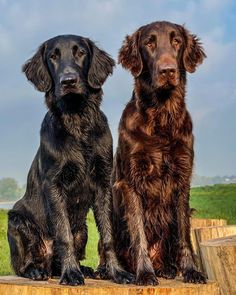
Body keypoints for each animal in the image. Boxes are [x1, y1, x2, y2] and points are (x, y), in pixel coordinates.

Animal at [7, 34, 134, 286]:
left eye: (81, 52)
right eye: (52, 56)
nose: (68, 80)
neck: (77, 121)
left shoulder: (103, 182)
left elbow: (108, 236)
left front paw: (117, 272)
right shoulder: (54, 184)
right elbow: (63, 234)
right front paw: (71, 273)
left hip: (83, 230)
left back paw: (84, 269)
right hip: (15, 221)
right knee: (24, 264)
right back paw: (37, 271)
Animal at [111, 22, 206, 286]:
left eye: (176, 41)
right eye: (149, 43)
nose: (167, 71)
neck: (161, 117)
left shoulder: (182, 177)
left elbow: (184, 234)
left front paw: (191, 271)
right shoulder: (130, 181)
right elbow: (139, 234)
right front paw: (145, 273)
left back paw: (167, 268)